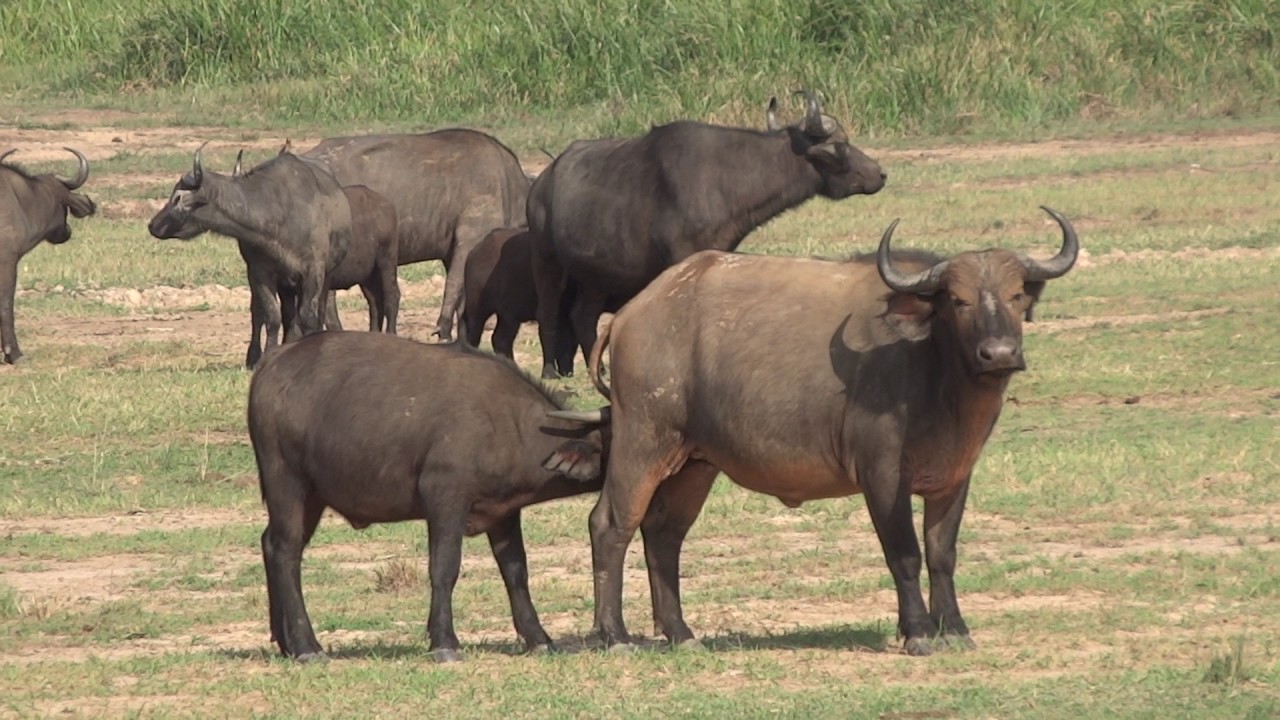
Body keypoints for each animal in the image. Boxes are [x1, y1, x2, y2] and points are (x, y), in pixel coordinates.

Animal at [0, 148, 96, 364]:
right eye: (64, 206)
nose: (66, 231)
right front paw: (14, 354)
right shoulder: (7, 263)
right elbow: (6, 304)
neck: (20, 200)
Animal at [149, 146, 352, 369]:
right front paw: (267, 355)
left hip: (323, 277)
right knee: (269, 313)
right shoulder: (260, 271)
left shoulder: (313, 271)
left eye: (177, 198)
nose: (153, 225)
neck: (276, 215)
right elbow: (272, 316)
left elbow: (308, 316)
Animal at [247, 331, 609, 662]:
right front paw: (444, 642)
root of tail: (274, 361)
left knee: (271, 544)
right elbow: (444, 568)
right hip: (287, 483)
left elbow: (516, 571)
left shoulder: (504, 514)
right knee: (285, 550)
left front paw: (538, 638)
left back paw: (285, 642)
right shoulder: (445, 501)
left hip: (314, 496)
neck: (512, 425)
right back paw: (307, 647)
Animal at [528, 91, 887, 378]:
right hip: (547, 261)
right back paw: (549, 371)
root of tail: (542, 183)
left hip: (597, 275)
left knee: (583, 315)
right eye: (841, 144)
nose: (880, 174)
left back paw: (599, 369)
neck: (727, 179)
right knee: (548, 312)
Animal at [571, 208, 1079, 654]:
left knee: (664, 532)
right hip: (643, 440)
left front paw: (953, 629)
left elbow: (942, 554)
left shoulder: (954, 477)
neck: (934, 368)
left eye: (1016, 296)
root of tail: (630, 315)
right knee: (611, 523)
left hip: (696, 461)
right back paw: (615, 635)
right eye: (957, 300)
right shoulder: (881, 474)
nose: (999, 353)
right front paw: (917, 632)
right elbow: (905, 553)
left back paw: (681, 632)